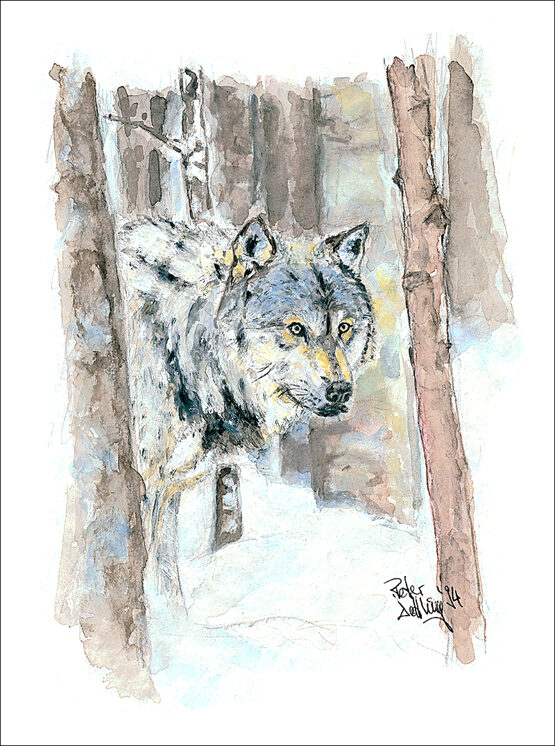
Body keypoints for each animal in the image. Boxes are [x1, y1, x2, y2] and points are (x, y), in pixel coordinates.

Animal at [118, 215, 375, 597]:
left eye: (344, 328)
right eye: (296, 328)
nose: (340, 391)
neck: (178, 344)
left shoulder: (167, 490)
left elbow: (163, 568)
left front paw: (168, 609)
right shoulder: (146, 484)